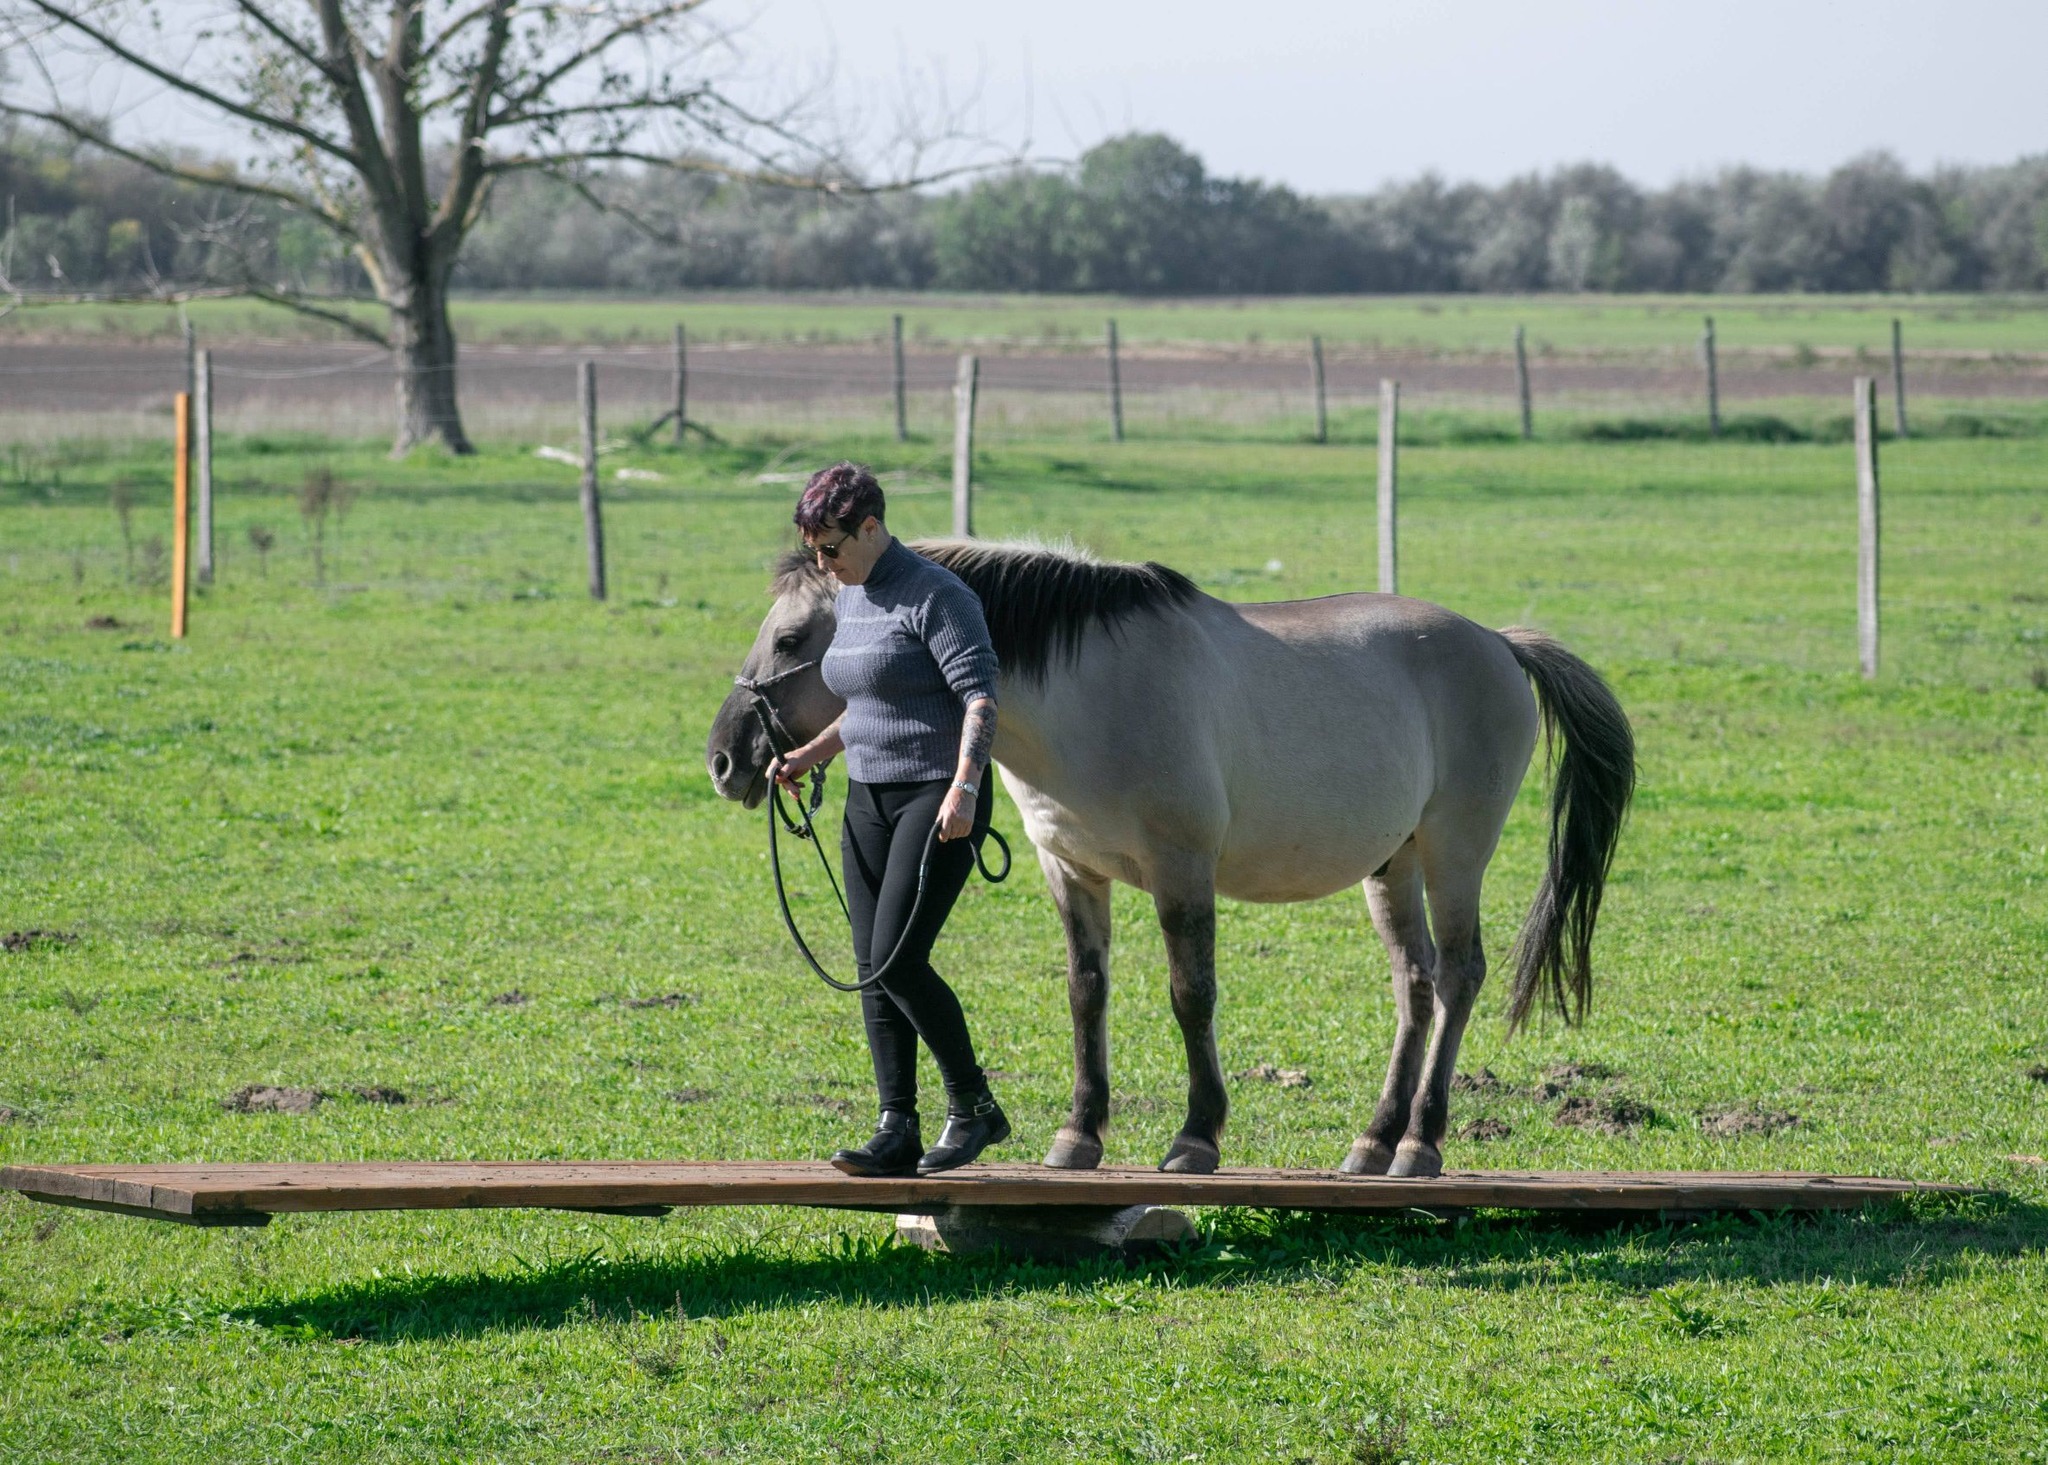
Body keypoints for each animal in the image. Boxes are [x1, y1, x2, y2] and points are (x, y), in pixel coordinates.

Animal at [704, 540, 1630, 1180]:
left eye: (791, 636)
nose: (726, 757)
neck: (1087, 692)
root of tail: (1499, 644)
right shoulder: (1071, 871)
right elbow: (1086, 993)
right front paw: (1078, 1133)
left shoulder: (1182, 869)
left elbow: (1191, 995)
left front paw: (1196, 1135)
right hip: (1392, 864)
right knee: (1418, 981)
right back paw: (1374, 1141)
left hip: (1453, 849)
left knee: (1462, 974)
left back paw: (1421, 1145)